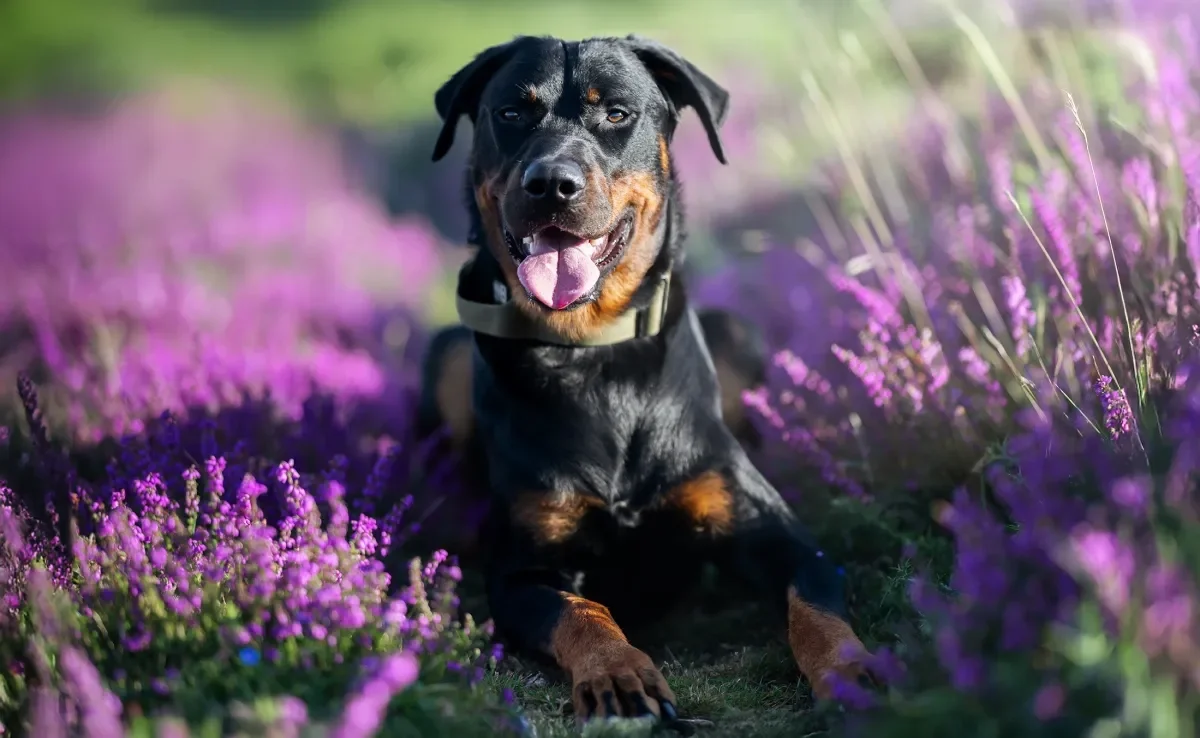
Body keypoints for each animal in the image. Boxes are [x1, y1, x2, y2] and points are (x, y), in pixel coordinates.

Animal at [417, 36, 868, 729]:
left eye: (617, 114)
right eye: (511, 114)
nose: (552, 183)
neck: (591, 352)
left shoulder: (784, 538)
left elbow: (815, 610)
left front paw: (856, 675)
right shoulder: (523, 569)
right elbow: (582, 612)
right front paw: (619, 672)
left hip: (737, 332)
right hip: (444, 356)